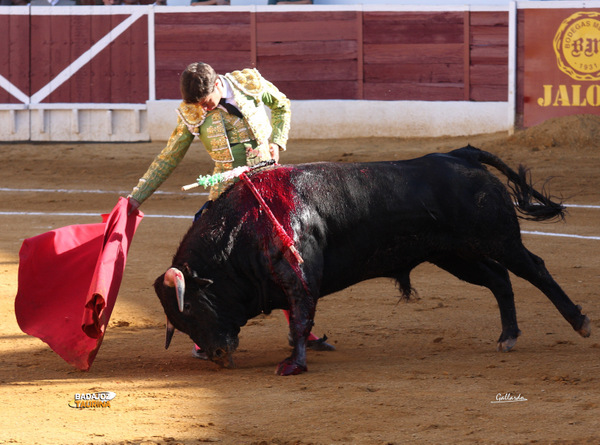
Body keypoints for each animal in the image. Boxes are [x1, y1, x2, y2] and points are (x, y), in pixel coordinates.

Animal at [155, 147, 592, 374]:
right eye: (180, 320)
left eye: (192, 306)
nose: (217, 355)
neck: (244, 227)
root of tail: (460, 155)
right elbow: (299, 319)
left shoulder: (300, 274)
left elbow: (300, 317)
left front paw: (293, 364)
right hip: (455, 255)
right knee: (500, 280)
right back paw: (508, 336)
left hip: (498, 239)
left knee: (534, 269)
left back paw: (579, 322)